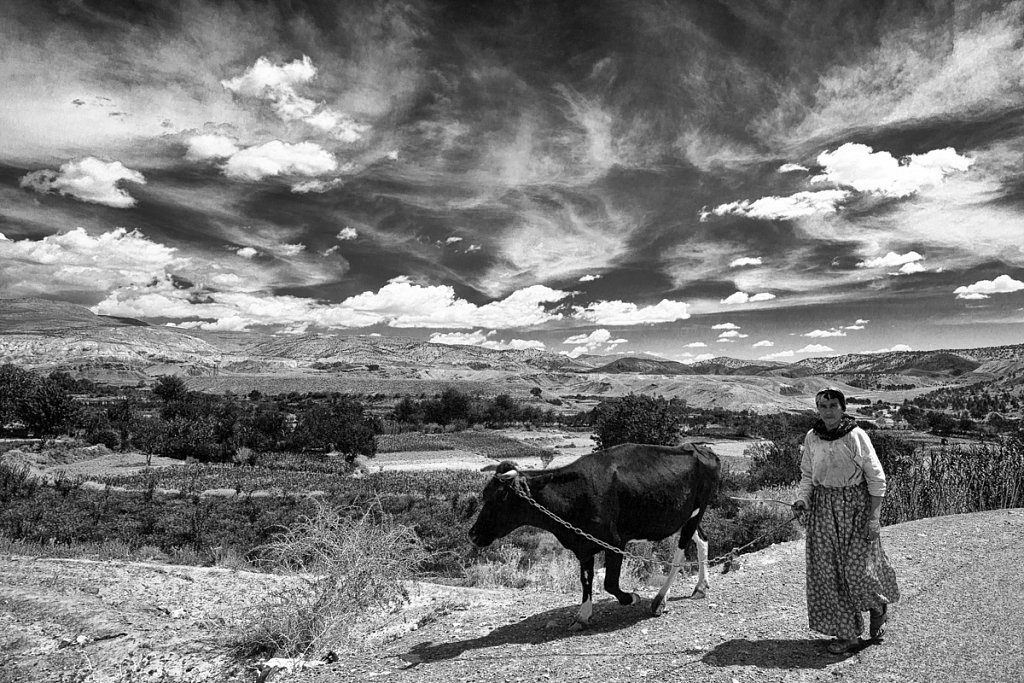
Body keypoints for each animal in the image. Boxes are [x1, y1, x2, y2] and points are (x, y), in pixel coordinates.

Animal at [468, 444, 720, 626]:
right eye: (485, 494)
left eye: (500, 497)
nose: (472, 534)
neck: (575, 494)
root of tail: (701, 449)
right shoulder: (583, 546)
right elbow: (586, 580)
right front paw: (582, 615)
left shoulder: (615, 543)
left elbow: (610, 583)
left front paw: (631, 597)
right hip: (685, 517)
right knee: (702, 539)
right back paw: (700, 587)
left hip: (696, 512)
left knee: (680, 553)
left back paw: (660, 600)